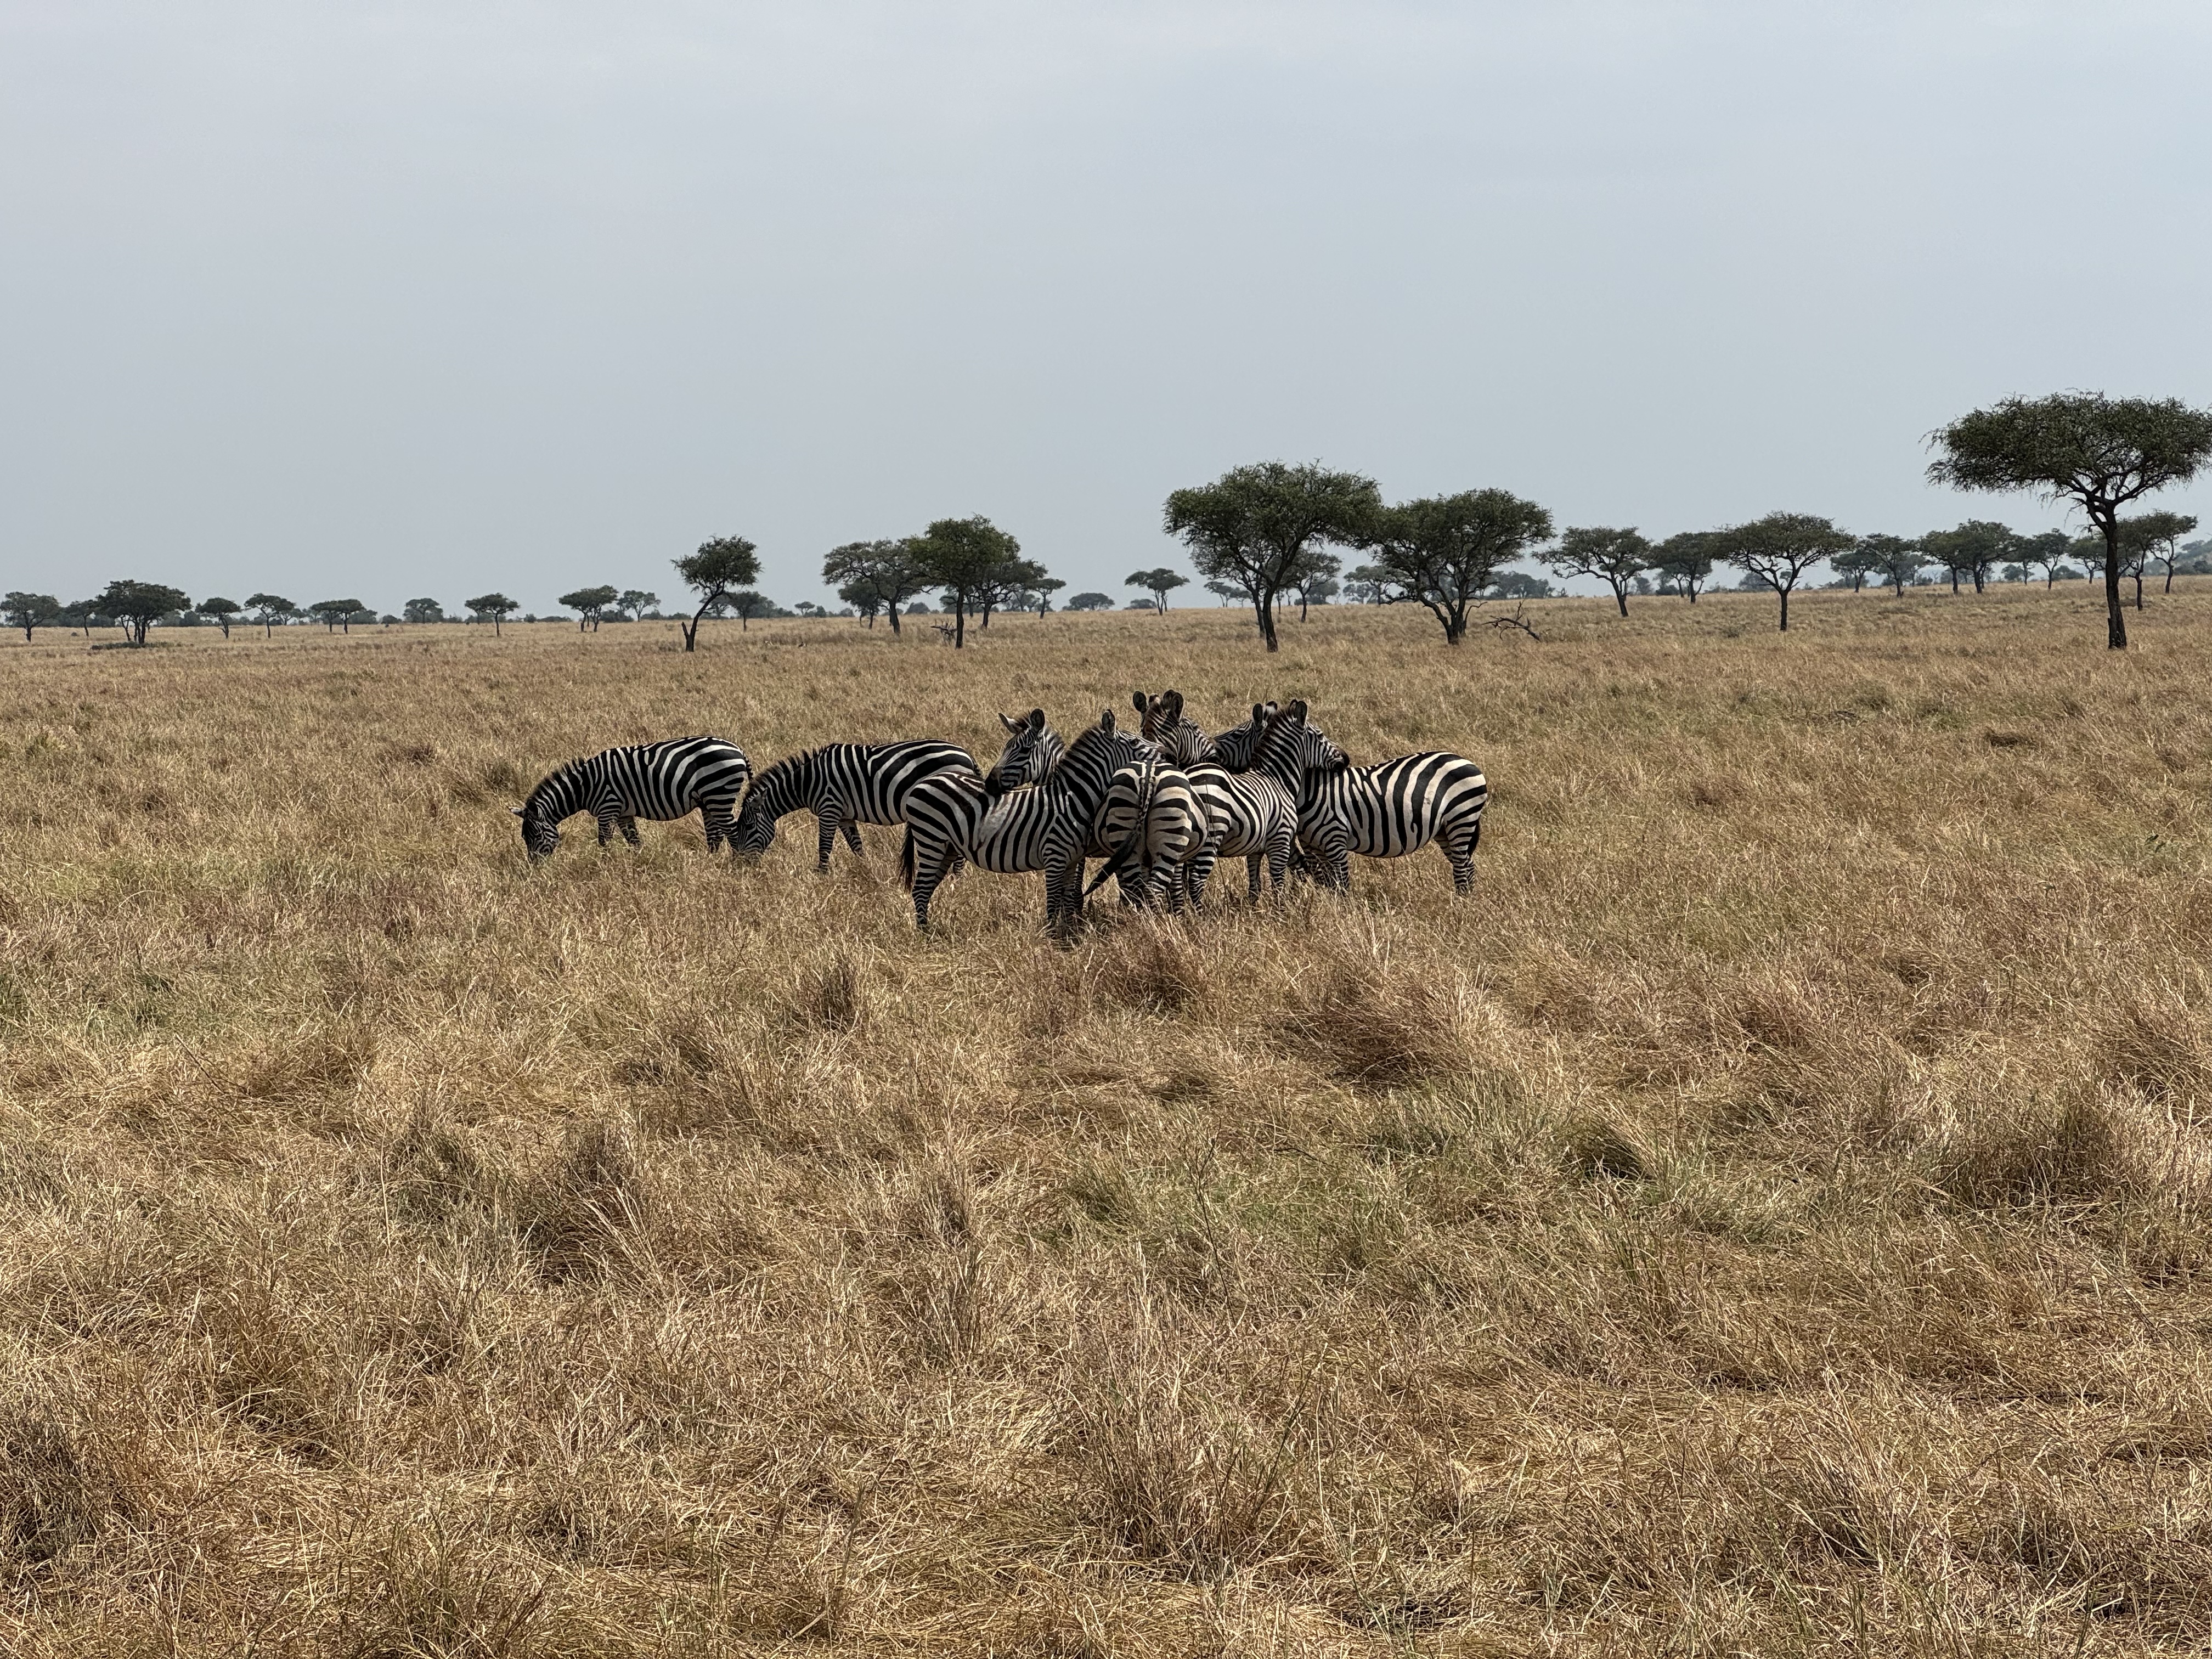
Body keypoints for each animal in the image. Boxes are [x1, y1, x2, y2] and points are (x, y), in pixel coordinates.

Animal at [514, 737, 753, 860]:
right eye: (525, 837)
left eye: (536, 835)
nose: (535, 866)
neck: (585, 786)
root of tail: (738, 749)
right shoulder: (623, 813)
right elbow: (634, 841)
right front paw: (638, 866)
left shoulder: (608, 807)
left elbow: (604, 842)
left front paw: (604, 867)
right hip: (708, 800)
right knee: (715, 836)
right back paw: (710, 865)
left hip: (719, 793)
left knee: (733, 833)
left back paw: (736, 866)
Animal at [731, 740, 980, 868]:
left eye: (748, 827)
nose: (740, 864)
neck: (807, 782)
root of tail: (967, 755)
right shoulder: (844, 816)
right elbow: (857, 847)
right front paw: (865, 873)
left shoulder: (829, 808)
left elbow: (824, 847)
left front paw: (822, 877)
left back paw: (955, 882)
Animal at [897, 710, 1156, 929]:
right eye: (1135, 743)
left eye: (1022, 750)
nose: (1163, 751)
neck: (1071, 798)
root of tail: (922, 784)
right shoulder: (1055, 857)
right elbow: (1054, 901)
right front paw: (1051, 938)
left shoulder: (1072, 859)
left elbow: (1069, 899)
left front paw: (1069, 933)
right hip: (931, 840)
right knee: (920, 890)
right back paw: (925, 936)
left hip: (947, 848)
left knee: (926, 889)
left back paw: (931, 931)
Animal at [1217, 702, 1488, 894]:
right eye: (1322, 736)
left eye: (1236, 735)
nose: (1346, 759)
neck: (1308, 789)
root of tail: (1466, 761)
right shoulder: (1313, 845)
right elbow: (1327, 882)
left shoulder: (1335, 840)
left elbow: (1343, 885)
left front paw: (1345, 917)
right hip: (1445, 829)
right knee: (1467, 866)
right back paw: (1467, 902)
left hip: (1461, 820)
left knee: (1462, 867)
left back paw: (1462, 905)